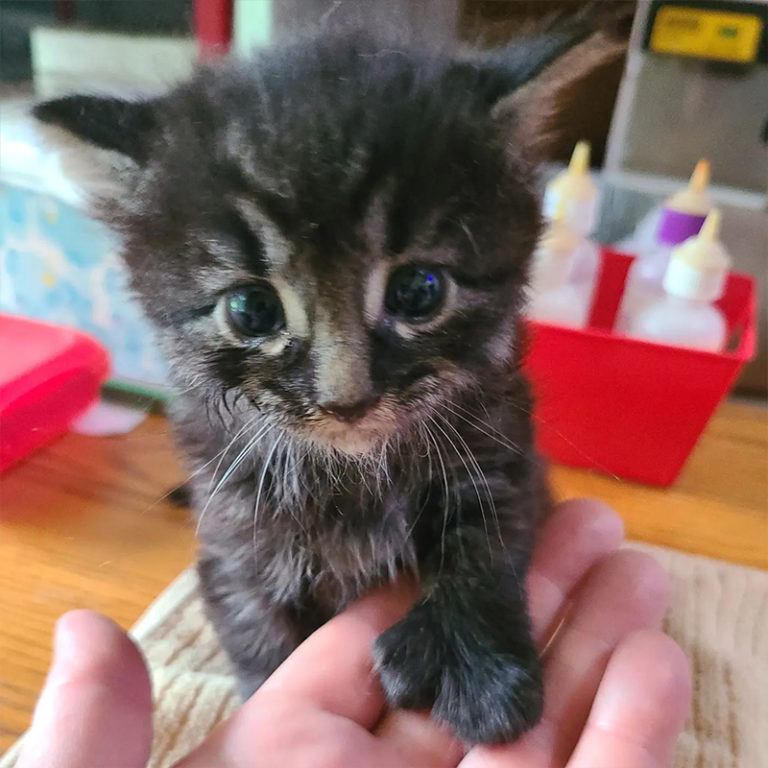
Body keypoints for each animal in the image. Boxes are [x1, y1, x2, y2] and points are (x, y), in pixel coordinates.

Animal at [34, 19, 600, 744]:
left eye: (420, 291)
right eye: (251, 310)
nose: (346, 400)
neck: (350, 475)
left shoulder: (507, 448)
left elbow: (486, 535)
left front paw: (477, 666)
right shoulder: (231, 540)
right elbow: (263, 642)